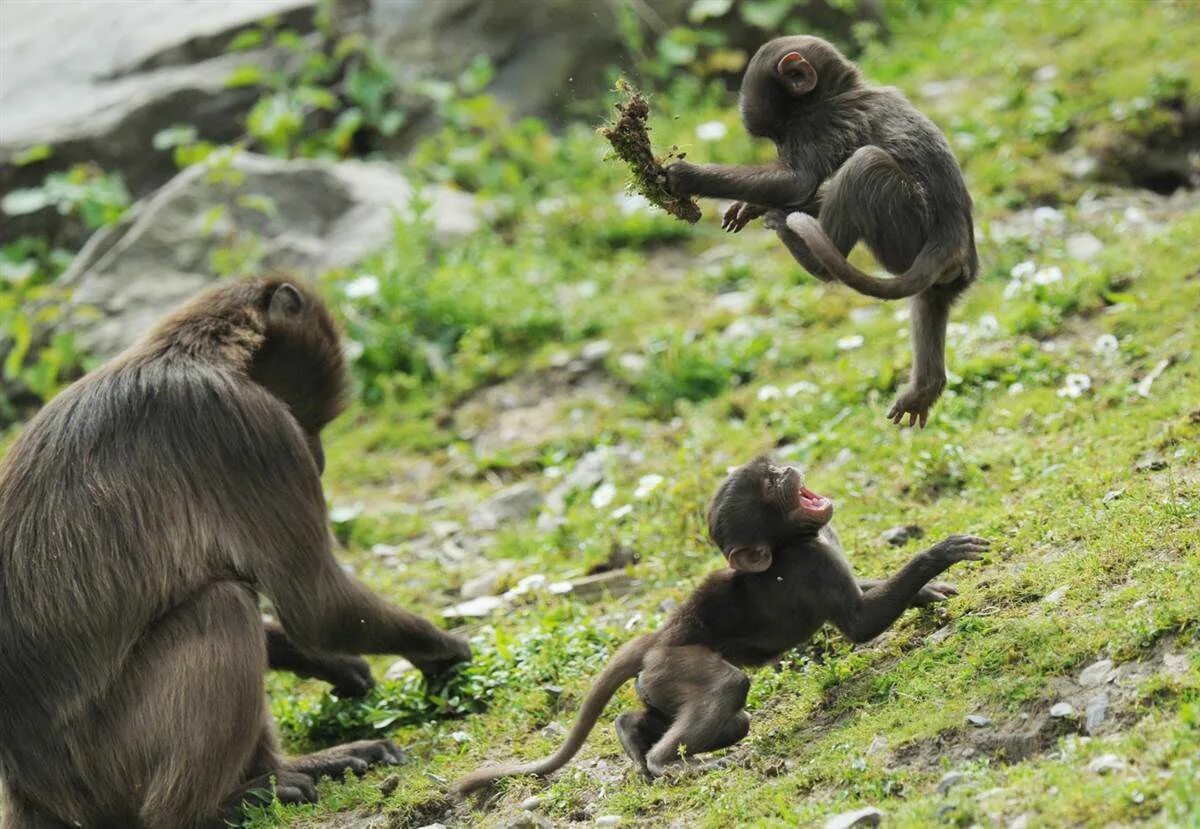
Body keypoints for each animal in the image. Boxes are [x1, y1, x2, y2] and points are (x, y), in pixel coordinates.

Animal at [0, 278, 470, 829]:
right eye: (311, 417)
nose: (320, 459)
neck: (186, 353)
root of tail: (32, 794)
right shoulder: (247, 425)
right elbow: (319, 606)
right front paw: (443, 649)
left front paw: (329, 663)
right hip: (107, 767)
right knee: (223, 605)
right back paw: (219, 805)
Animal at [453, 458, 988, 796]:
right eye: (772, 487)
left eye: (772, 473)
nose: (785, 469)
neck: (796, 539)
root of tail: (660, 637)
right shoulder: (813, 563)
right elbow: (859, 623)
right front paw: (939, 554)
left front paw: (929, 592)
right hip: (675, 664)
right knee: (728, 687)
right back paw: (663, 761)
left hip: (658, 681)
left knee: (719, 719)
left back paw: (632, 735)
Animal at [672, 36, 979, 427]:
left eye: (781, 136)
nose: (781, 152)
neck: (845, 90)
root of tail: (953, 242)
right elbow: (802, 188)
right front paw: (749, 205)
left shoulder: (820, 125)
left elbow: (798, 182)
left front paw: (685, 175)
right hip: (933, 269)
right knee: (930, 300)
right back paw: (926, 386)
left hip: (906, 231)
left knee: (865, 164)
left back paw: (810, 256)